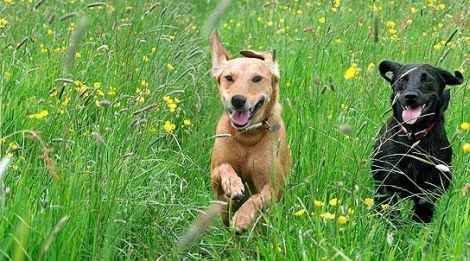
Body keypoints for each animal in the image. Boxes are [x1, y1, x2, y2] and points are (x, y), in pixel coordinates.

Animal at [209, 31, 290, 233]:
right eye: (229, 77)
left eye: (257, 78)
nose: (238, 100)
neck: (247, 137)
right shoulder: (214, 177)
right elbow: (224, 167)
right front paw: (233, 184)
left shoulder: (272, 187)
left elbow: (258, 197)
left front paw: (242, 218)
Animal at [372, 60, 464, 221]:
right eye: (402, 79)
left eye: (427, 79)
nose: (410, 96)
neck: (413, 136)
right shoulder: (387, 181)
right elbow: (390, 207)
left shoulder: (440, 178)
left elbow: (426, 200)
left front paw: (419, 217)